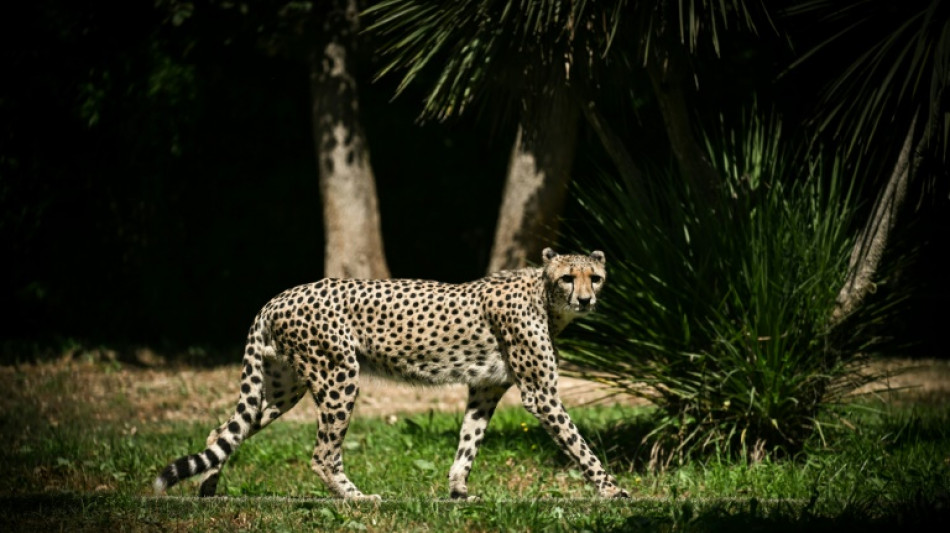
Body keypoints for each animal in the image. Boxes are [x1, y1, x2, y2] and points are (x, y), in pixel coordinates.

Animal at [154, 247, 632, 500]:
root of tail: (278, 296)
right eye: (568, 277)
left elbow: (469, 440)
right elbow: (579, 445)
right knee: (322, 453)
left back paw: (208, 490)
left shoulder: (485, 388)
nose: (586, 299)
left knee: (222, 431)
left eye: (595, 277)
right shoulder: (540, 394)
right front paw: (612, 491)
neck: (543, 295)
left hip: (283, 386)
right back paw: (357, 499)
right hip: (338, 375)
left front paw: (458, 491)